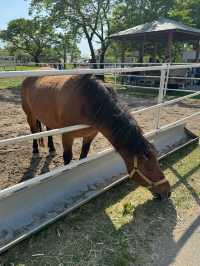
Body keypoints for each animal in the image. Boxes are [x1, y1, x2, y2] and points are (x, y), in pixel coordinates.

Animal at [21, 74, 170, 198]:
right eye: (148, 168)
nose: (167, 192)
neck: (86, 101)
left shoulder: (90, 135)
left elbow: (83, 156)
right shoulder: (67, 136)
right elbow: (67, 158)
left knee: (49, 130)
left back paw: (52, 149)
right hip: (30, 115)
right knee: (33, 131)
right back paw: (35, 151)